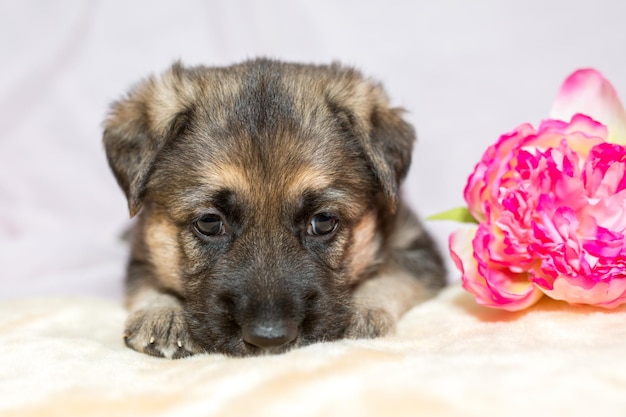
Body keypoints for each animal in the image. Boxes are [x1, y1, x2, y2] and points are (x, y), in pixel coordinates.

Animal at [102, 58, 444, 358]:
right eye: (210, 222)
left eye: (323, 221)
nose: (270, 337)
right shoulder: (141, 248)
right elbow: (147, 280)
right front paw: (162, 314)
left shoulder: (416, 247)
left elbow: (390, 276)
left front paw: (364, 309)